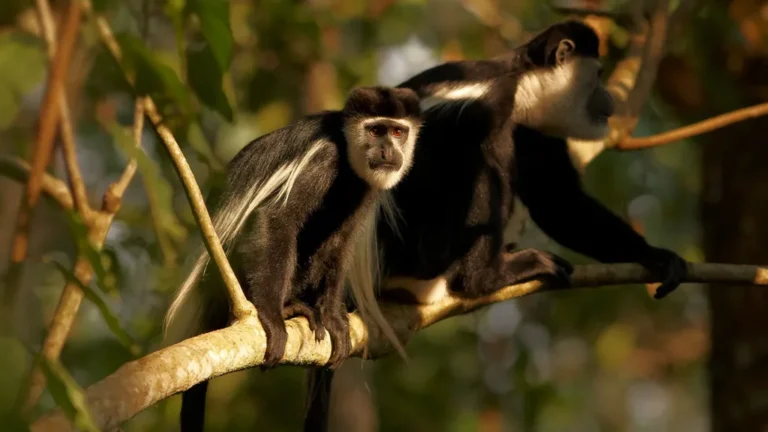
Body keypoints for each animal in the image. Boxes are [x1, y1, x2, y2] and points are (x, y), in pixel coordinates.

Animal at [163, 86, 422, 432]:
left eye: (397, 132)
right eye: (375, 130)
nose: (387, 150)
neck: (347, 153)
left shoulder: (365, 190)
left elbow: (341, 244)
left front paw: (333, 318)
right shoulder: (323, 160)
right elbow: (278, 220)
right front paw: (274, 317)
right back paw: (288, 307)